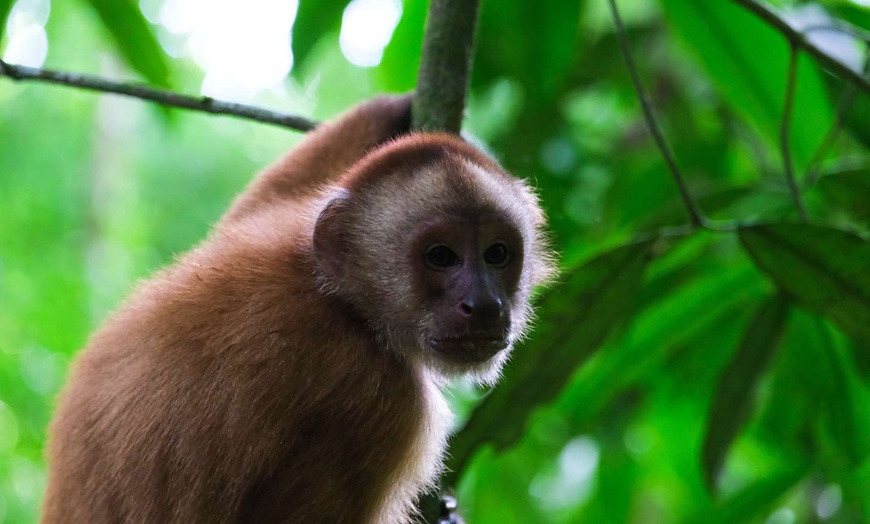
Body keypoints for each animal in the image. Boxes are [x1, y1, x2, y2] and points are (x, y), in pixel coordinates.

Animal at [41, 95, 556, 524]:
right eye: (441, 256)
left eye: (497, 254)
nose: (484, 304)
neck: (342, 305)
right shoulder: (375, 399)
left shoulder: (279, 224)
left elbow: (265, 200)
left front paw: (399, 107)